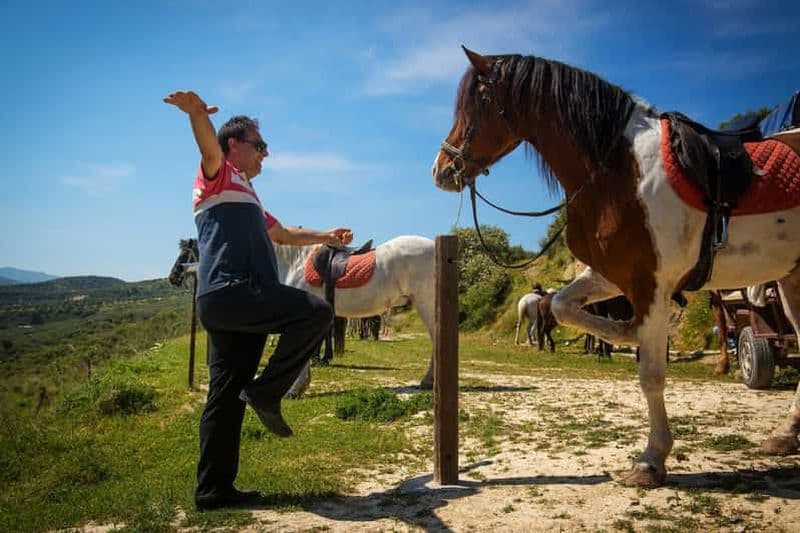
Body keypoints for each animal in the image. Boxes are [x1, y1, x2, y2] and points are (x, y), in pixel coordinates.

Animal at [432, 47, 800, 487]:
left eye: (481, 100)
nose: (441, 170)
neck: (617, 170)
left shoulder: (649, 283)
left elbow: (652, 374)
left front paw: (651, 460)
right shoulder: (611, 274)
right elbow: (563, 307)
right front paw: (623, 333)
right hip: (793, 279)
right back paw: (786, 433)